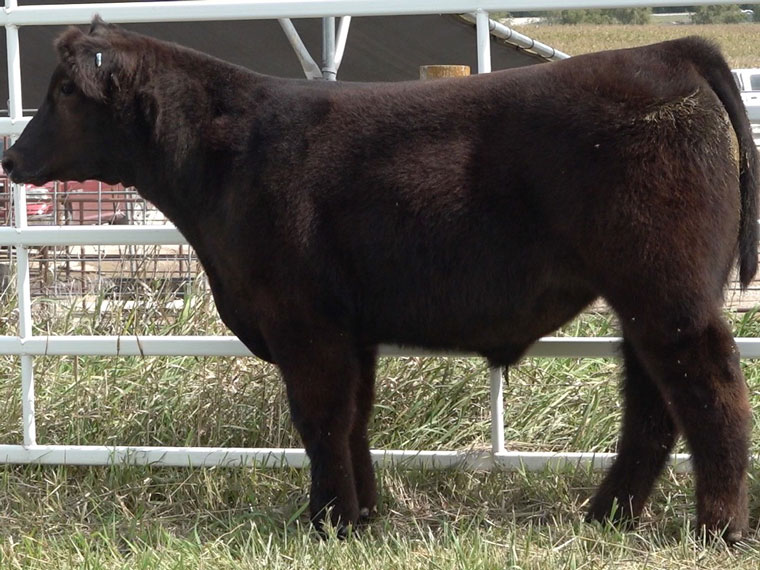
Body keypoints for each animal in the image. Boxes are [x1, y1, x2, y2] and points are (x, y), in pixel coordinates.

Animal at [2, 17, 758, 542]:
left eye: (64, 90)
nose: (11, 156)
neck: (224, 157)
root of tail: (669, 49)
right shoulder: (347, 330)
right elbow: (354, 419)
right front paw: (360, 514)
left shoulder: (303, 322)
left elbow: (319, 420)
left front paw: (326, 520)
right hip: (647, 298)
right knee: (654, 404)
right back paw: (605, 516)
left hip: (666, 292)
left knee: (711, 392)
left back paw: (715, 528)